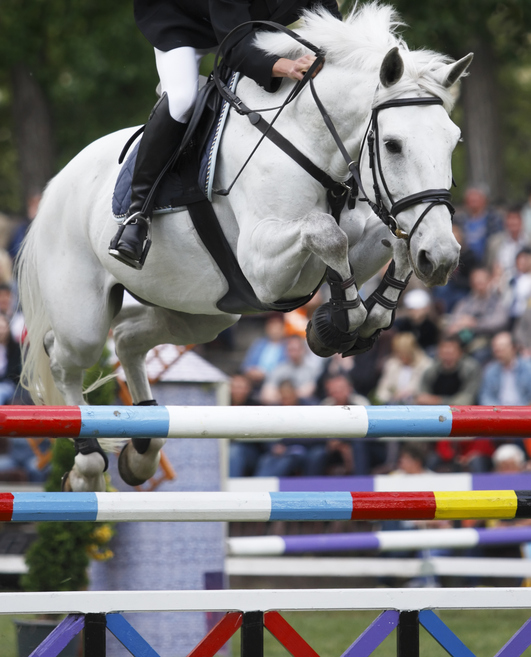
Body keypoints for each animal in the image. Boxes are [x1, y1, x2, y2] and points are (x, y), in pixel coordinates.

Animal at [17, 3, 472, 492]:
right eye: (392, 145)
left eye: (453, 141)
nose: (443, 258)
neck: (312, 140)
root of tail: (55, 186)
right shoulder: (261, 264)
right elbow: (327, 233)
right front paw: (340, 323)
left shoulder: (360, 239)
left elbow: (387, 244)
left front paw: (369, 316)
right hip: (84, 317)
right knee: (64, 360)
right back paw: (86, 464)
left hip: (205, 312)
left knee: (128, 340)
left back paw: (143, 450)